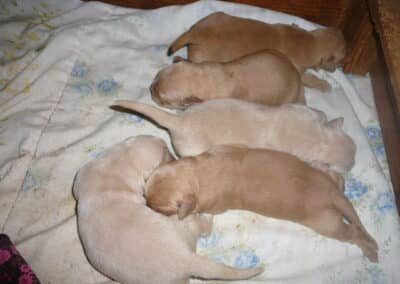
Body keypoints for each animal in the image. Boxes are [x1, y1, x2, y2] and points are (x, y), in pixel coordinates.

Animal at [73, 136, 264, 284]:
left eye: (166, 146)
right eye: (166, 153)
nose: (175, 158)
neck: (119, 161)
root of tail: (186, 259)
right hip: (181, 222)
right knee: (203, 227)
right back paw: (206, 215)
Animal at [112, 98, 356, 174]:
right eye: (349, 165)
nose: (354, 164)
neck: (320, 138)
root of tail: (178, 120)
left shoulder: (302, 112)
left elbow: (318, 113)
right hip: (194, 147)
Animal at [145, 145, 378, 262]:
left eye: (159, 208)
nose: (145, 204)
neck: (198, 175)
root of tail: (331, 194)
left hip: (328, 224)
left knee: (353, 233)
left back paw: (368, 249)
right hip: (329, 182)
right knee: (339, 179)